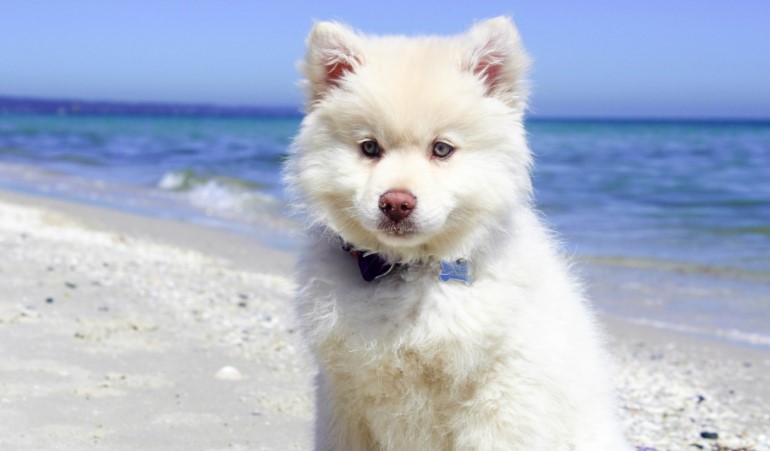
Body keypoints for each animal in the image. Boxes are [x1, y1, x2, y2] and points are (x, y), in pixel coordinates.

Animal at [284, 15, 628, 450]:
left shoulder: (500, 402)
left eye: (442, 149)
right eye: (370, 148)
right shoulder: (343, 401)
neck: (408, 273)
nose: (396, 202)